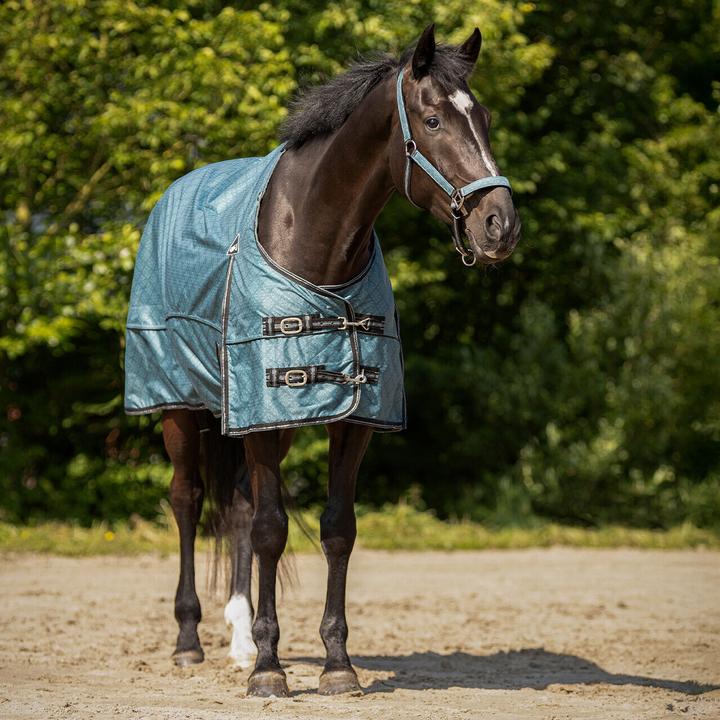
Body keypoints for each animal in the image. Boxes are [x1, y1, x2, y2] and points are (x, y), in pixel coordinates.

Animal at [126, 24, 520, 697]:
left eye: (486, 118)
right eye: (434, 120)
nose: (500, 225)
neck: (315, 243)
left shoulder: (349, 417)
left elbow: (336, 529)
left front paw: (336, 663)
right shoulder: (263, 409)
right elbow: (272, 530)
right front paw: (270, 670)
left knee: (237, 506)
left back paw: (238, 637)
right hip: (179, 407)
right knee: (189, 501)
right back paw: (189, 641)